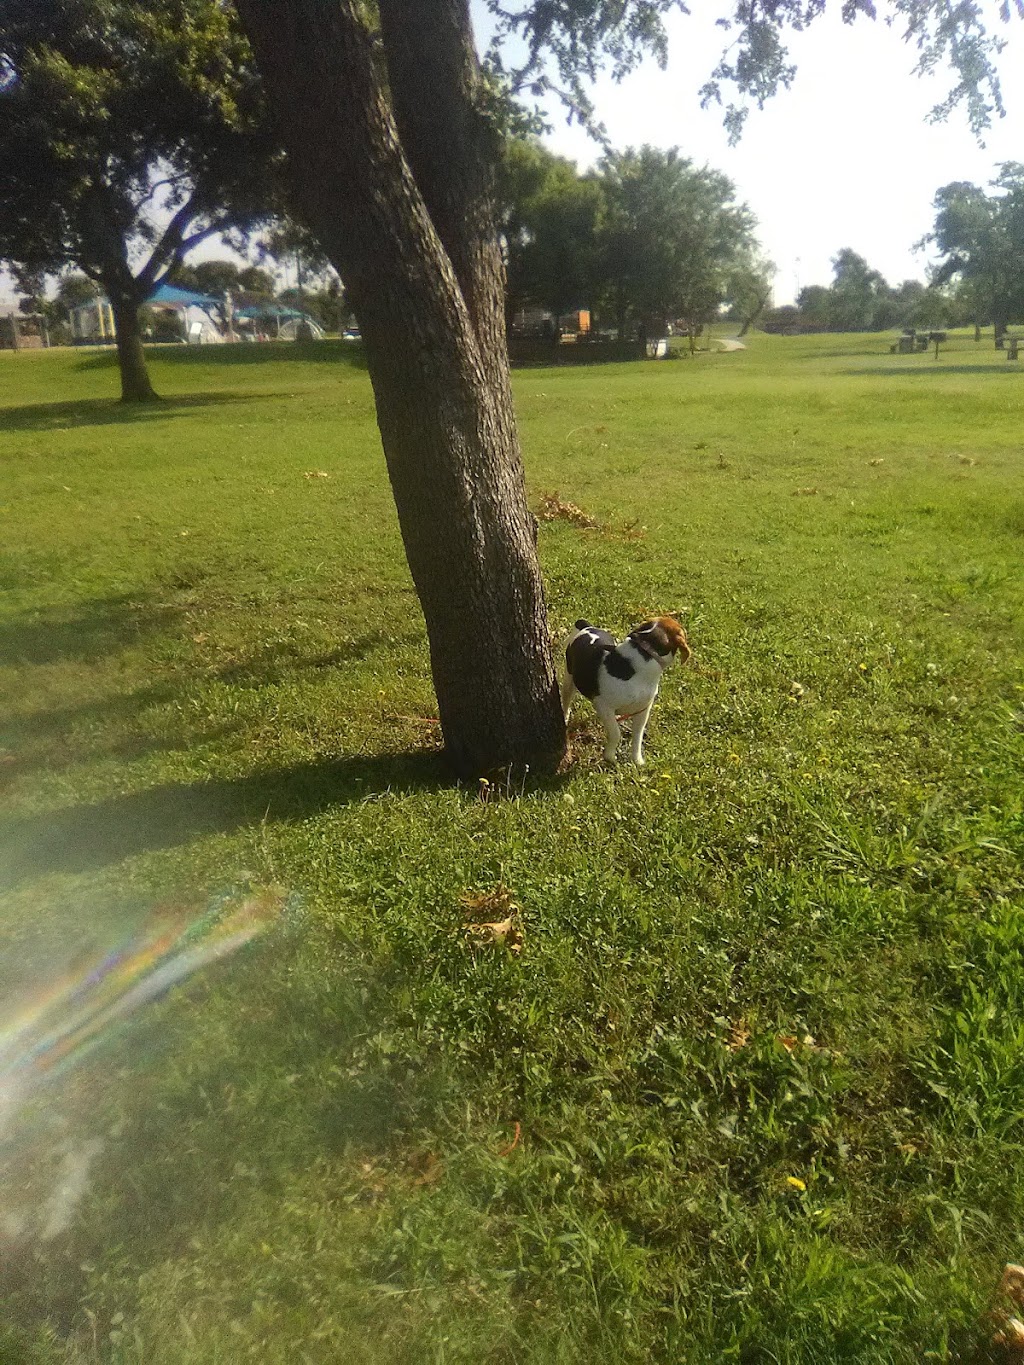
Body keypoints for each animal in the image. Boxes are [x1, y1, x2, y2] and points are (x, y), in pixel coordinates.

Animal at [562, 614, 690, 764]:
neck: (645, 651)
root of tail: (587, 626)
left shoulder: (643, 710)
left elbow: (638, 736)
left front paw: (637, 761)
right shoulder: (603, 705)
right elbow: (616, 733)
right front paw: (610, 756)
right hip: (569, 680)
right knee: (566, 701)